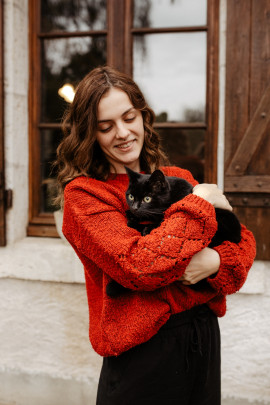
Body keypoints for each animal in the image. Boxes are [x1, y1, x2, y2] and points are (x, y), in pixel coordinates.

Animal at [106, 166, 242, 296]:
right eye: (131, 196)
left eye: (147, 199)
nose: (134, 208)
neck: (170, 196)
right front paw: (133, 215)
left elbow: (161, 221)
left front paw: (141, 224)